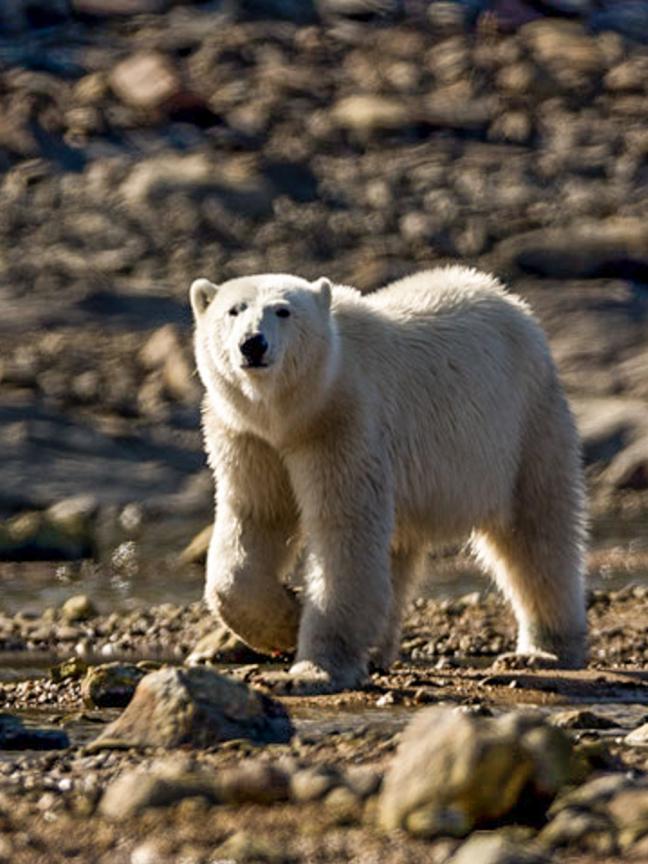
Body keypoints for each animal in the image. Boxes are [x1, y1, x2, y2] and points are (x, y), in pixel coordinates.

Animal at [191, 266, 588, 692]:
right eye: (234, 310)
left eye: (283, 311)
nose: (253, 344)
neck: (293, 415)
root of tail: (511, 301)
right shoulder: (248, 438)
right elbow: (256, 520)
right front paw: (286, 620)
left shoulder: (343, 424)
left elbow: (344, 530)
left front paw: (315, 668)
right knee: (401, 550)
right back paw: (378, 650)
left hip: (524, 426)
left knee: (536, 535)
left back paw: (543, 650)